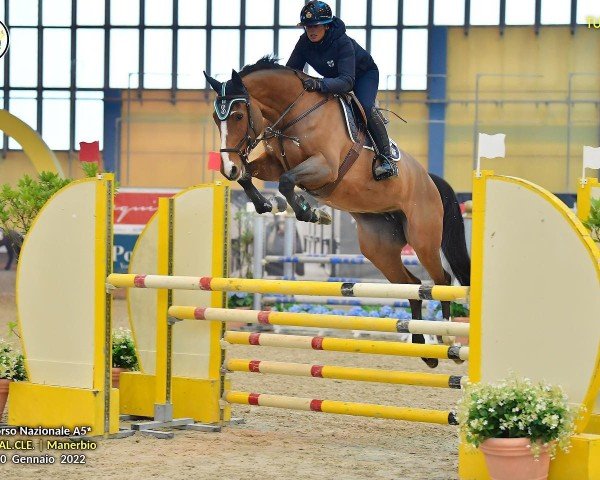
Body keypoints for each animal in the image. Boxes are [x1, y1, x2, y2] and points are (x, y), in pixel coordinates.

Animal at [204, 57, 472, 368]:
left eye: (237, 116)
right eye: (216, 119)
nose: (228, 168)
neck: (294, 112)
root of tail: (430, 180)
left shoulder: (325, 166)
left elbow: (286, 182)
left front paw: (310, 212)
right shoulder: (274, 163)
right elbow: (252, 176)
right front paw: (268, 205)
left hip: (423, 238)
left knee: (441, 280)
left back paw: (448, 339)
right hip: (378, 246)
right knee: (412, 285)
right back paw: (422, 348)